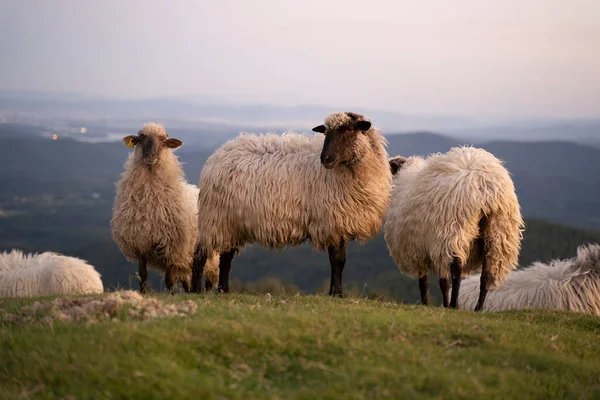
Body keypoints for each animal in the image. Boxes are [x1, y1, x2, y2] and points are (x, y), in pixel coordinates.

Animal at [110, 122, 218, 294]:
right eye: (140, 138)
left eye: (164, 141)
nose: (150, 156)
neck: (150, 199)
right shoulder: (142, 241)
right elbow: (142, 275)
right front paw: (143, 293)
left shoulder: (171, 246)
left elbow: (169, 280)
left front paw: (172, 295)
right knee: (186, 281)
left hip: (210, 255)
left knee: (209, 278)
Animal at [192, 111, 394, 296]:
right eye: (325, 132)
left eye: (349, 129)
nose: (325, 159)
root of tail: (218, 155)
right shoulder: (332, 221)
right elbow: (337, 259)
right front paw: (336, 293)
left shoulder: (340, 222)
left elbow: (341, 260)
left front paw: (335, 292)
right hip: (215, 218)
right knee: (201, 254)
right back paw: (196, 290)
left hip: (232, 223)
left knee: (226, 257)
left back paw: (223, 290)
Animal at [386, 148, 524, 312]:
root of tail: (485, 186)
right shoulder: (432, 245)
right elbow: (443, 282)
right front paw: (443, 305)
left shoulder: (419, 249)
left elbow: (425, 282)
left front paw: (427, 304)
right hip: (499, 233)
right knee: (487, 273)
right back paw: (478, 308)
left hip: (453, 230)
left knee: (457, 268)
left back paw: (454, 305)